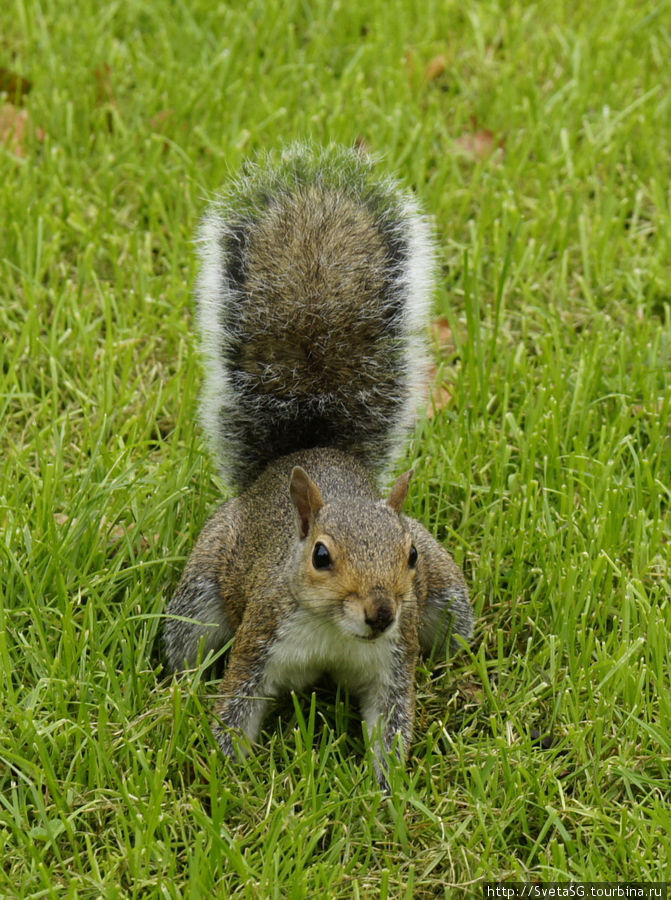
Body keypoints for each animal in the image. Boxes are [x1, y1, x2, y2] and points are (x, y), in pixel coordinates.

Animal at [163, 141, 476, 788]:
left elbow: (393, 722)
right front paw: (227, 788)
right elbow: (235, 711)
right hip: (201, 590)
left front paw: (386, 794)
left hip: (450, 605)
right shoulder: (261, 637)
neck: (335, 632)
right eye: (321, 556)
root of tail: (307, 453)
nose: (381, 611)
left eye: (409, 554)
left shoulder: (394, 661)